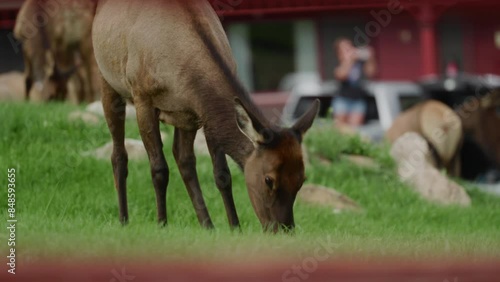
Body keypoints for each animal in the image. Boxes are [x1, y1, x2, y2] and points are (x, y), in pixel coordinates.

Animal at [92, 0, 318, 232]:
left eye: (301, 179)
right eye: (268, 180)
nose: (284, 229)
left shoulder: (201, 113)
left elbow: (222, 174)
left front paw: (234, 227)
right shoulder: (142, 96)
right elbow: (159, 169)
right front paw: (162, 223)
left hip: (185, 119)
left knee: (183, 159)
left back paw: (207, 224)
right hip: (106, 78)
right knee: (118, 155)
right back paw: (123, 219)